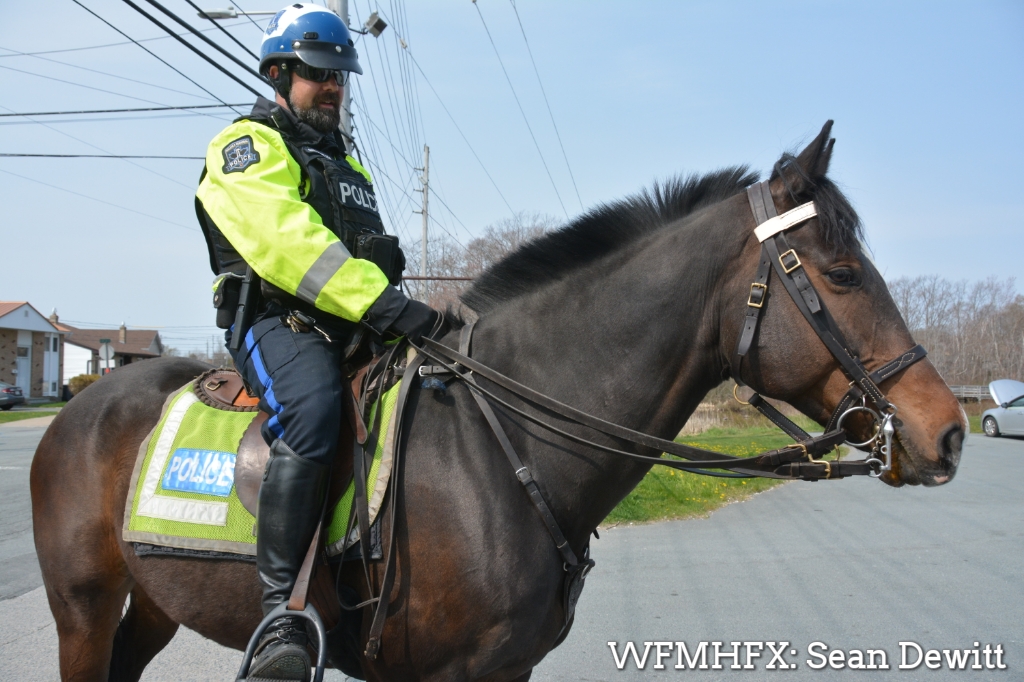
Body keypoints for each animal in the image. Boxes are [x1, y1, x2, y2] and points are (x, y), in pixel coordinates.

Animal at [31, 122, 965, 681]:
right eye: (842, 273)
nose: (947, 431)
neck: (500, 445)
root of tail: (77, 408)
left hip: (152, 606)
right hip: (82, 609)